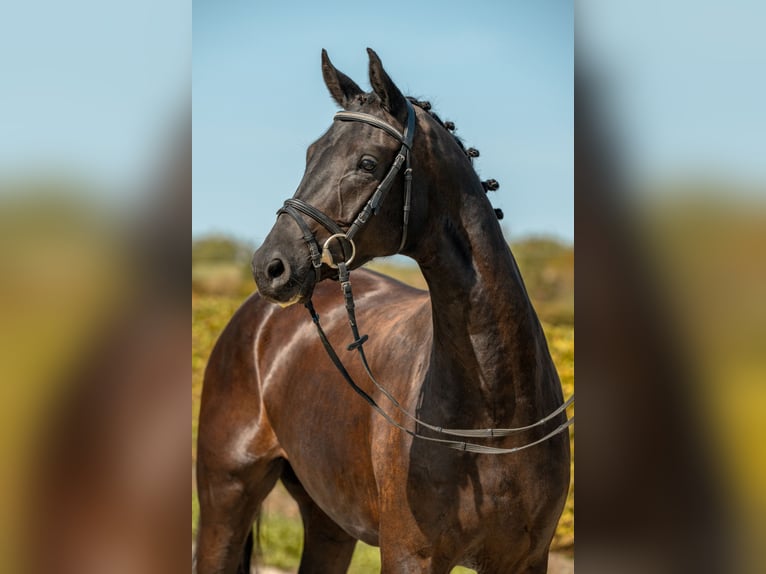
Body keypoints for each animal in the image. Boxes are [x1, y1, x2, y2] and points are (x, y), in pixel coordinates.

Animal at [195, 48, 570, 574]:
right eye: (311, 154)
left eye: (368, 163)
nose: (270, 265)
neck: (496, 418)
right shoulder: (409, 555)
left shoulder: (526, 560)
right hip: (224, 500)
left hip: (328, 521)